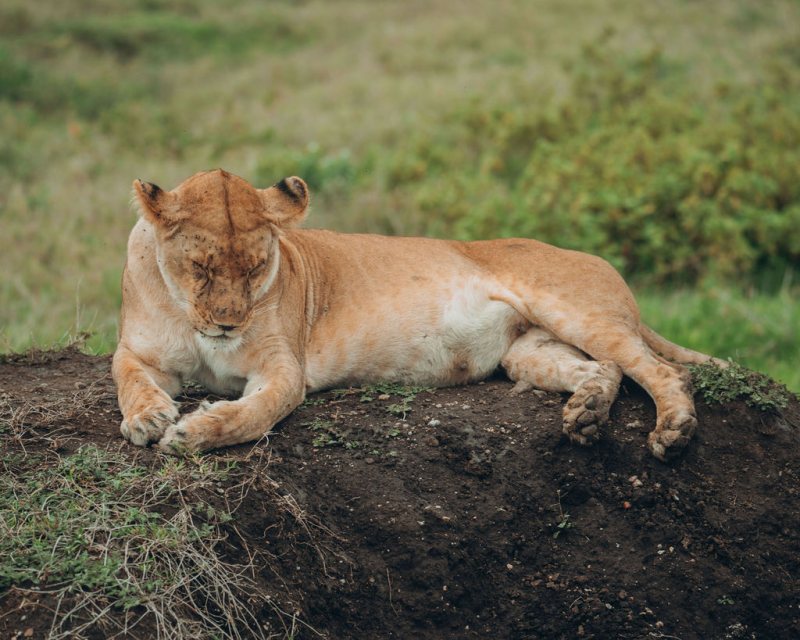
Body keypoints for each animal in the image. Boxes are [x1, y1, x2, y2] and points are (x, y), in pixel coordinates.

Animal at [113, 169, 724, 461]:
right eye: (200, 266)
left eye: (258, 266)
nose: (227, 325)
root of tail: (601, 261)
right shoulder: (138, 349)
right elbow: (127, 377)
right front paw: (149, 417)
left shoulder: (284, 369)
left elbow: (254, 414)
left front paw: (194, 431)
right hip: (529, 351)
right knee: (604, 370)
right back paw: (587, 415)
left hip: (574, 311)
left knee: (665, 370)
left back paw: (673, 431)